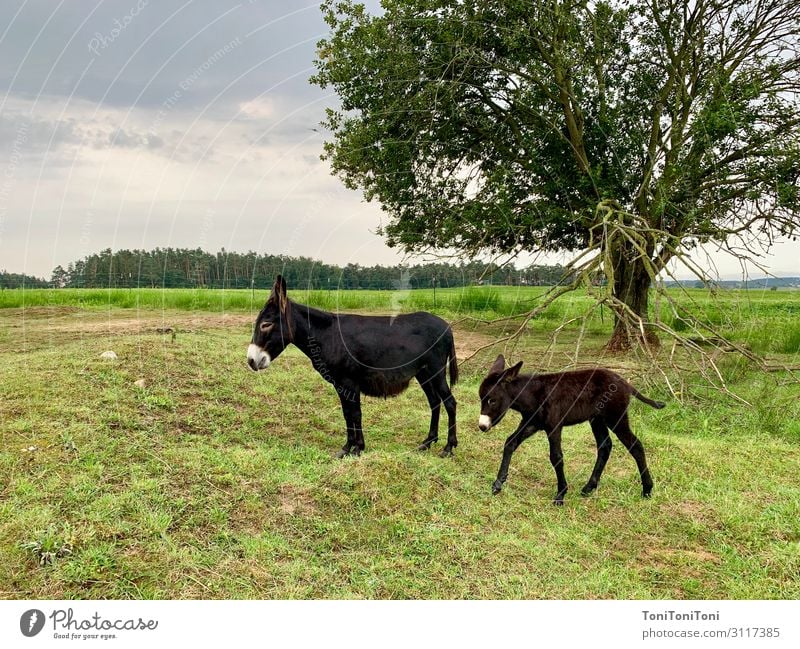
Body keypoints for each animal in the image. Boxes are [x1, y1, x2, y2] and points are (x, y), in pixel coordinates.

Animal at [482, 356, 664, 504]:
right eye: (481, 399)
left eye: (492, 400)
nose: (482, 426)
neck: (533, 395)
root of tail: (625, 382)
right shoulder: (531, 423)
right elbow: (510, 443)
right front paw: (498, 484)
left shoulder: (554, 426)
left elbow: (556, 457)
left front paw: (561, 495)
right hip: (597, 419)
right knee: (605, 446)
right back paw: (589, 487)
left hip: (615, 418)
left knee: (635, 445)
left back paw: (647, 490)